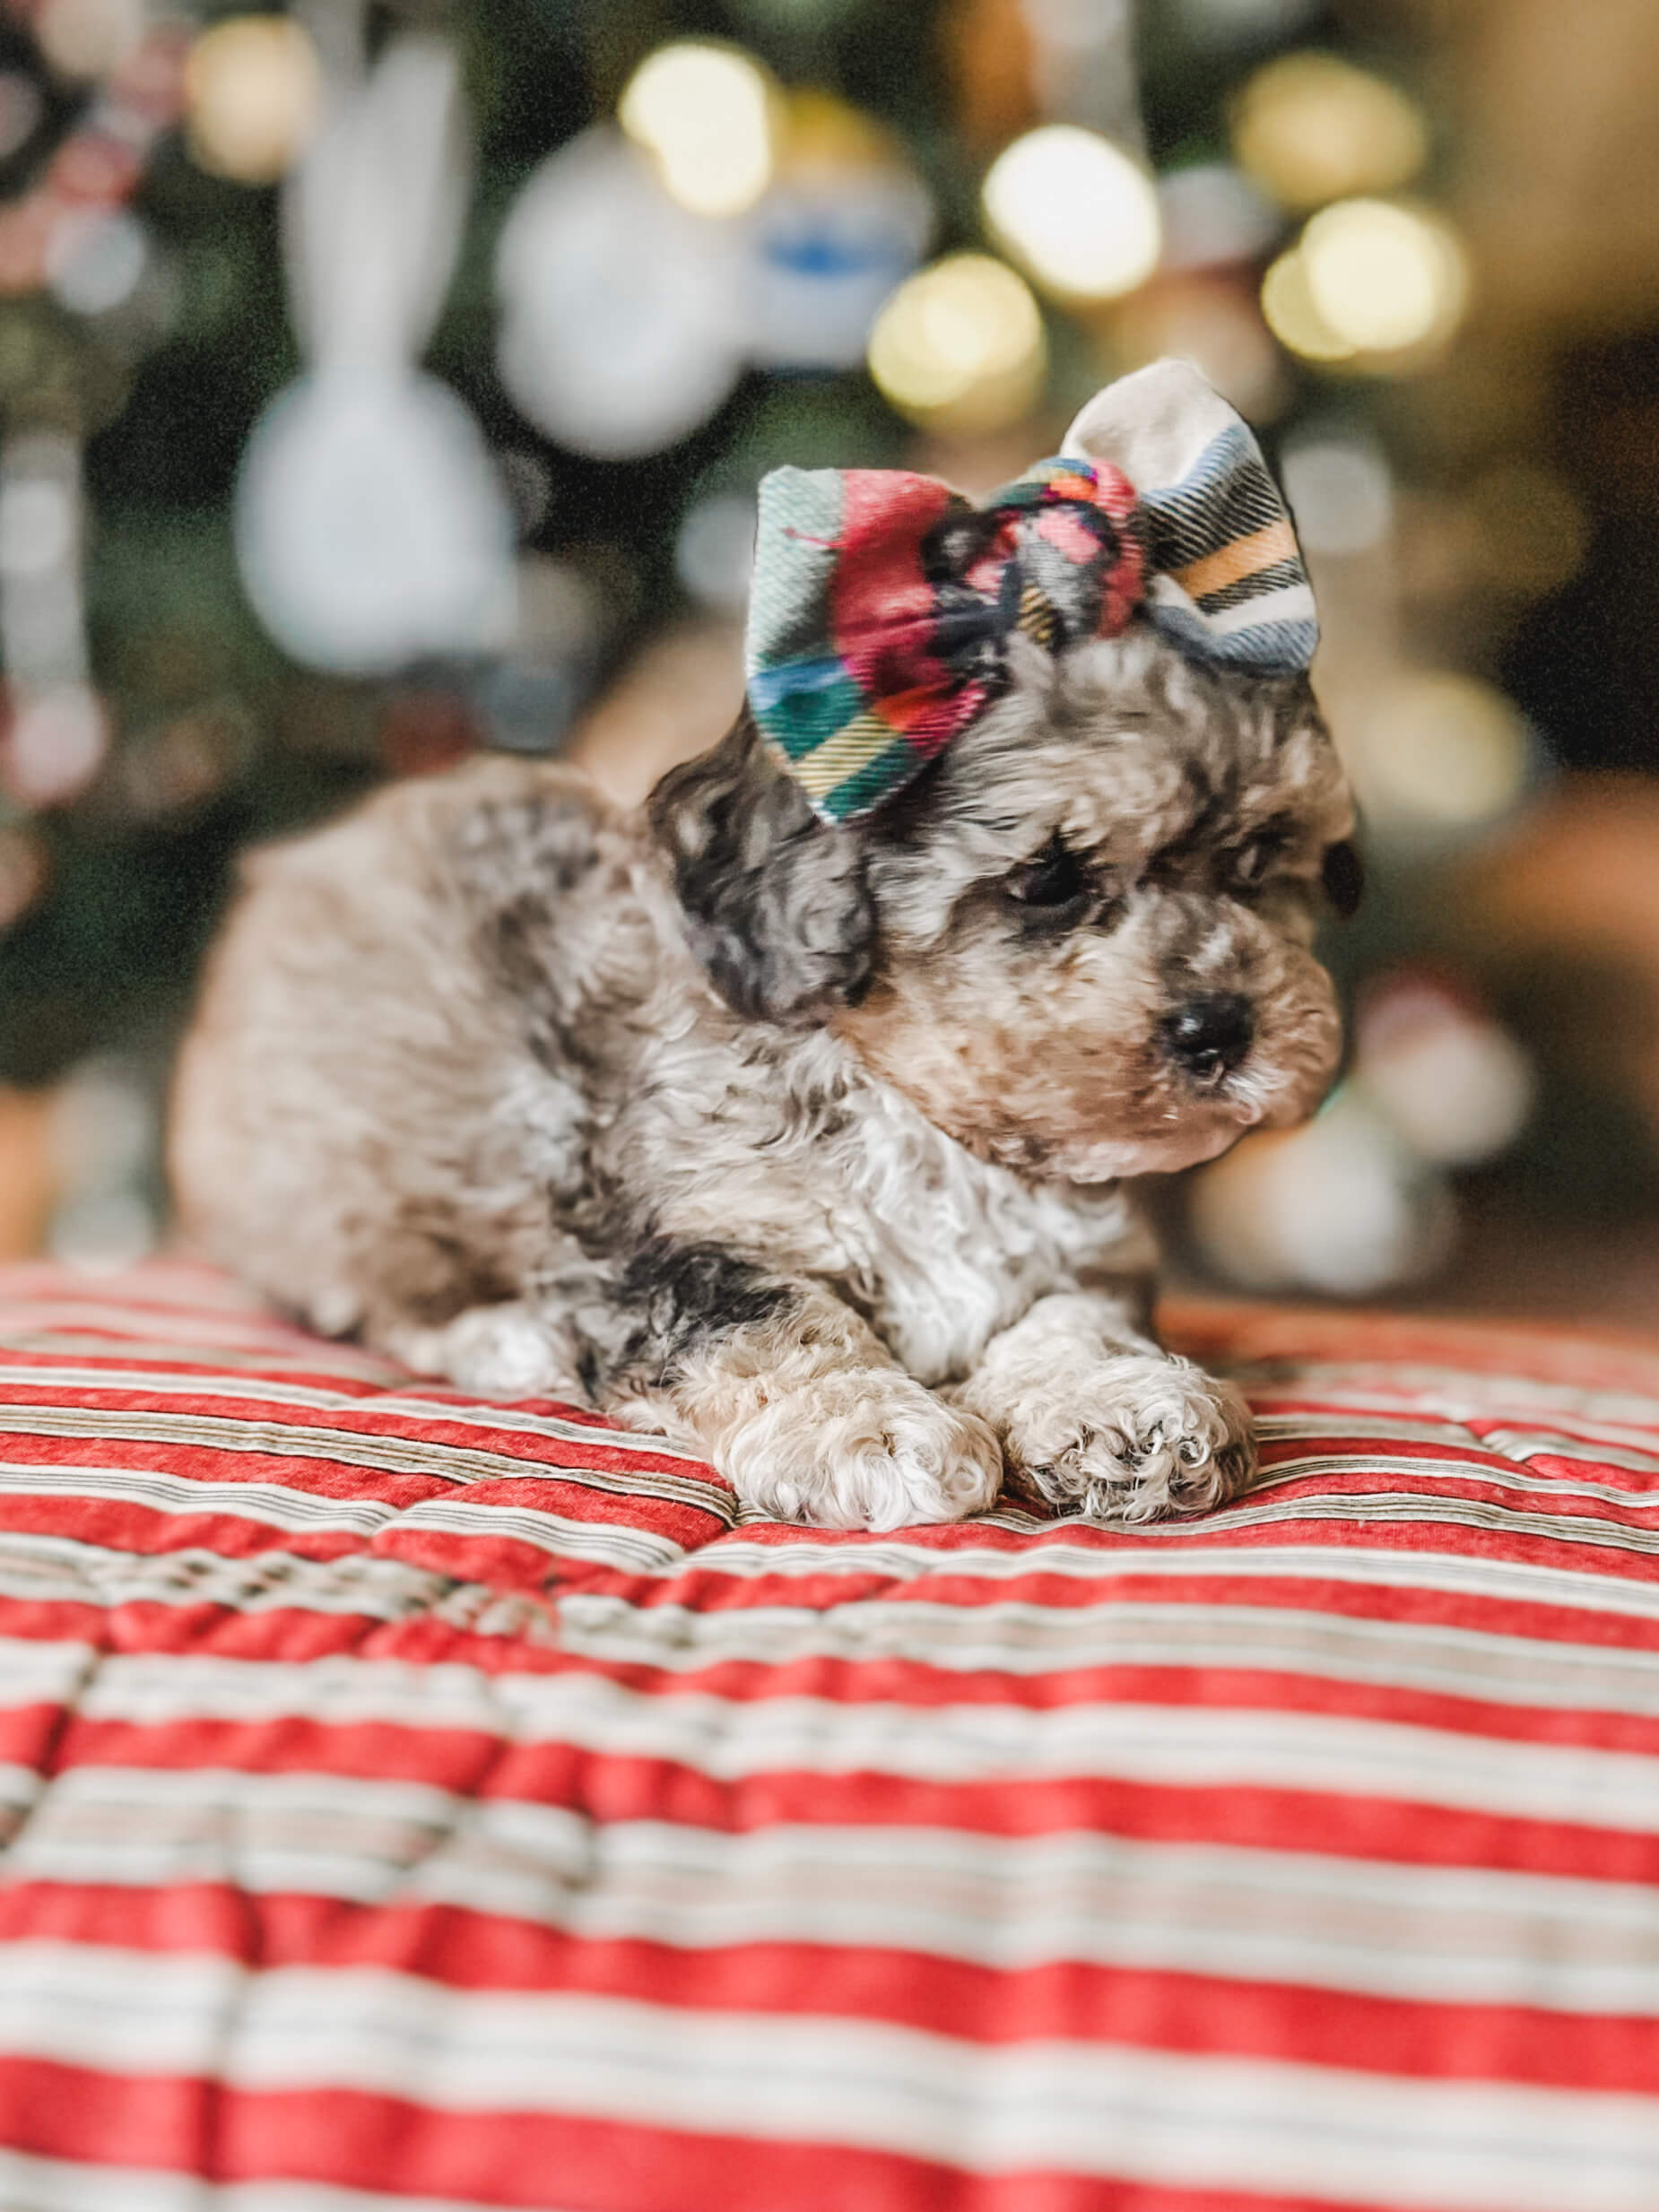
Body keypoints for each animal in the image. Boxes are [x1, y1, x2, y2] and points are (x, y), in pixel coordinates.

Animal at [172, 367, 1362, 1540]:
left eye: (1260, 855)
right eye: (1049, 879)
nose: (1221, 1028)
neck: (921, 1117)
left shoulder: (1081, 1251)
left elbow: (1073, 1314)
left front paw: (1123, 1403)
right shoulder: (666, 1242)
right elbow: (775, 1321)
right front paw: (871, 1428)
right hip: (329, 1170)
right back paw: (501, 1339)